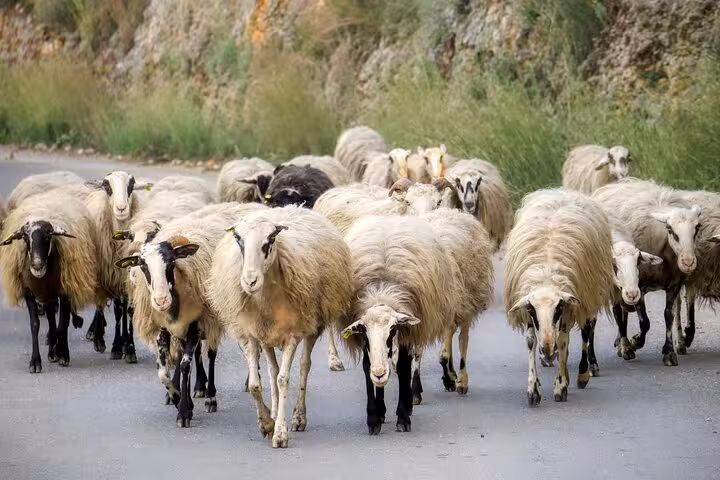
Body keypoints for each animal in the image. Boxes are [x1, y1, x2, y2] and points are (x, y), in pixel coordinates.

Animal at [0, 191, 98, 372]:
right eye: (25, 238)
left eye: (48, 236)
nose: (37, 265)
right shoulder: (29, 291)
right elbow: (35, 324)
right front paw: (35, 361)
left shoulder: (65, 290)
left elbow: (63, 323)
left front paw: (63, 354)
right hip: (47, 294)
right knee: (51, 318)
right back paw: (52, 349)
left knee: (58, 321)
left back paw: (57, 349)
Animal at [116, 202, 265, 427]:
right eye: (143, 265)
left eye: (171, 262)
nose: (161, 300)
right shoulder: (164, 328)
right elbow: (163, 371)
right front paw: (176, 395)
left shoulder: (197, 322)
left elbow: (186, 364)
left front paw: (184, 411)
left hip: (216, 317)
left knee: (213, 353)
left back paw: (213, 395)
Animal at [208, 205, 353, 448]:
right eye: (238, 239)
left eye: (270, 239)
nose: (250, 281)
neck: (266, 299)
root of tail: (295, 207)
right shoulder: (251, 335)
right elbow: (256, 385)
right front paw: (267, 423)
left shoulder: (292, 335)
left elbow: (283, 380)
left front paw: (281, 433)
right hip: (266, 336)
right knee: (271, 370)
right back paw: (275, 413)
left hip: (312, 324)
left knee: (304, 366)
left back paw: (298, 417)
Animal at [339, 211, 491, 434]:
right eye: (365, 332)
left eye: (392, 330)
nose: (380, 374)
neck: (382, 290)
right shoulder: (364, 339)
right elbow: (368, 367)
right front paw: (375, 417)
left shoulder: (409, 330)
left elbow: (404, 366)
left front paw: (403, 416)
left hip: (459, 301)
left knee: (460, 336)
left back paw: (458, 381)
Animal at [505, 189, 614, 406]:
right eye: (532, 310)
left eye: (558, 308)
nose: (547, 351)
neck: (546, 274)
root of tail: (562, 191)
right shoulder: (527, 310)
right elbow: (531, 341)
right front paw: (533, 389)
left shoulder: (570, 308)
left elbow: (563, 341)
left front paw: (560, 386)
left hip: (589, 294)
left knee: (587, 331)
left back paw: (584, 373)